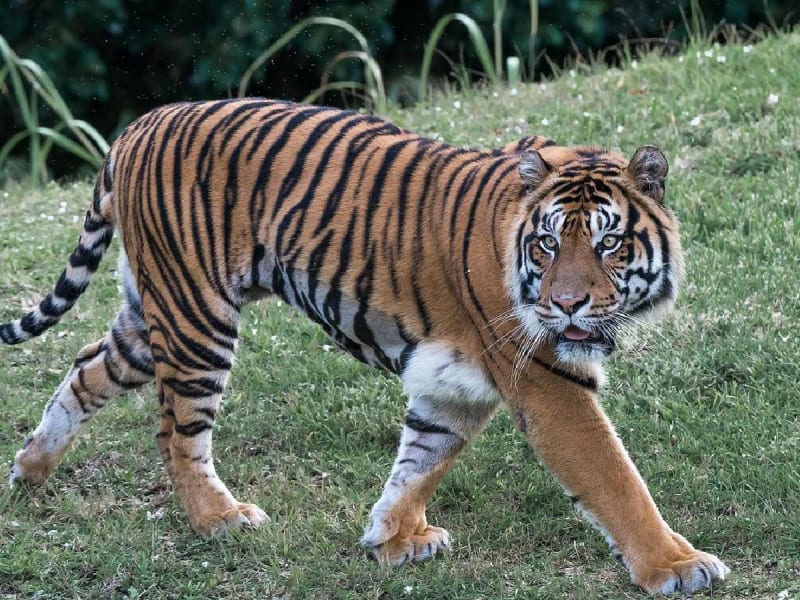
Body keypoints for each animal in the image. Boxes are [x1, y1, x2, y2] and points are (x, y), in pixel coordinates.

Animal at [1, 98, 729, 595]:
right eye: (549, 243)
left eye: (608, 244)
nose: (569, 303)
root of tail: (138, 125)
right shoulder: (549, 383)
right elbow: (615, 479)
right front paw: (677, 565)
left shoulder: (453, 386)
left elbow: (422, 460)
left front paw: (393, 537)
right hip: (195, 318)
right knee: (177, 431)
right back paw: (219, 518)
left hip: (153, 317)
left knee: (86, 367)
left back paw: (29, 471)